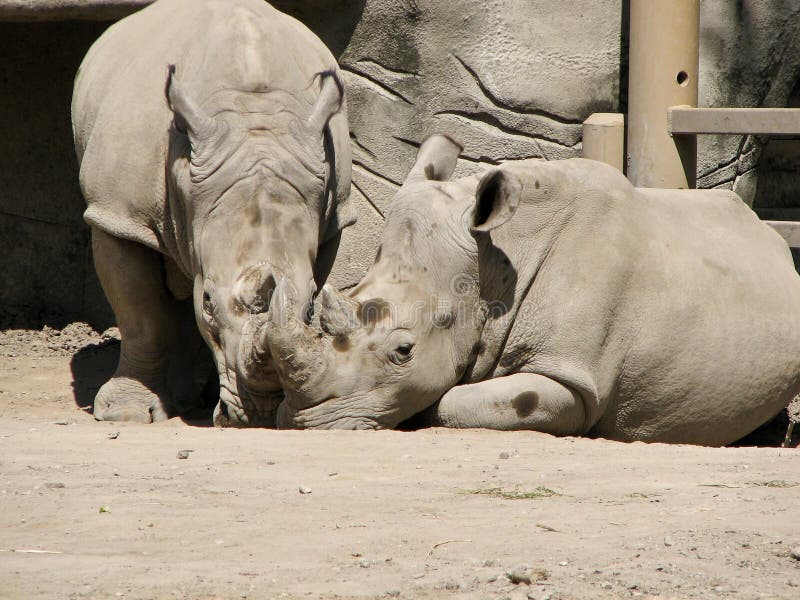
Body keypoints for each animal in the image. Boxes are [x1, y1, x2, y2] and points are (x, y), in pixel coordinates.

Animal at [72, 0, 354, 426]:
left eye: (310, 307)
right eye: (207, 300)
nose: (261, 410)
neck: (253, 119)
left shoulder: (332, 217)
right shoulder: (118, 214)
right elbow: (142, 317)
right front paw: (124, 414)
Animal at [266, 136, 800, 446]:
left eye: (404, 350)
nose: (304, 424)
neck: (496, 263)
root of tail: (770, 234)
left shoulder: (572, 378)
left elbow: (454, 401)